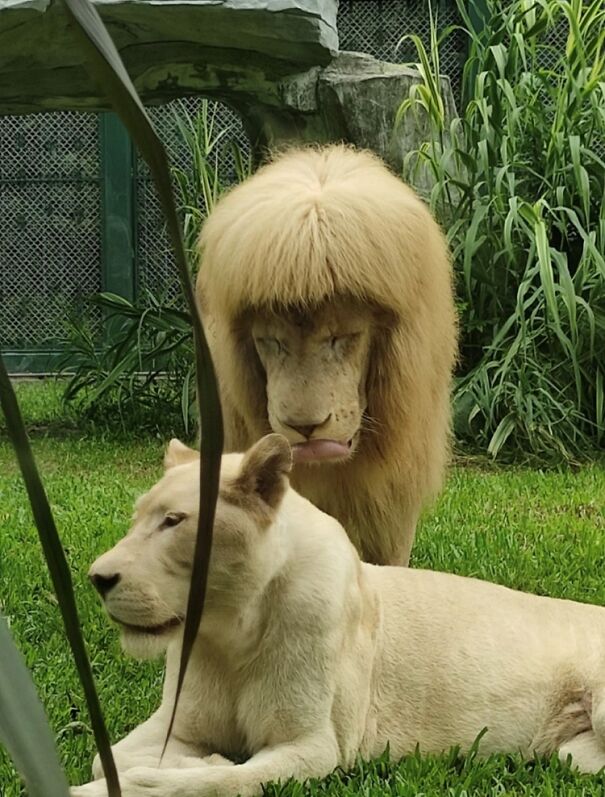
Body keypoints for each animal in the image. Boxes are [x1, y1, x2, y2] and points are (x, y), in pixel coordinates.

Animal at [73, 435, 605, 797]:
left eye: (174, 521)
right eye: (137, 517)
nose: (97, 578)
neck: (229, 633)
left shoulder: (316, 746)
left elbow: (221, 782)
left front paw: (166, 777)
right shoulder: (179, 724)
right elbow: (105, 759)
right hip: (571, 756)